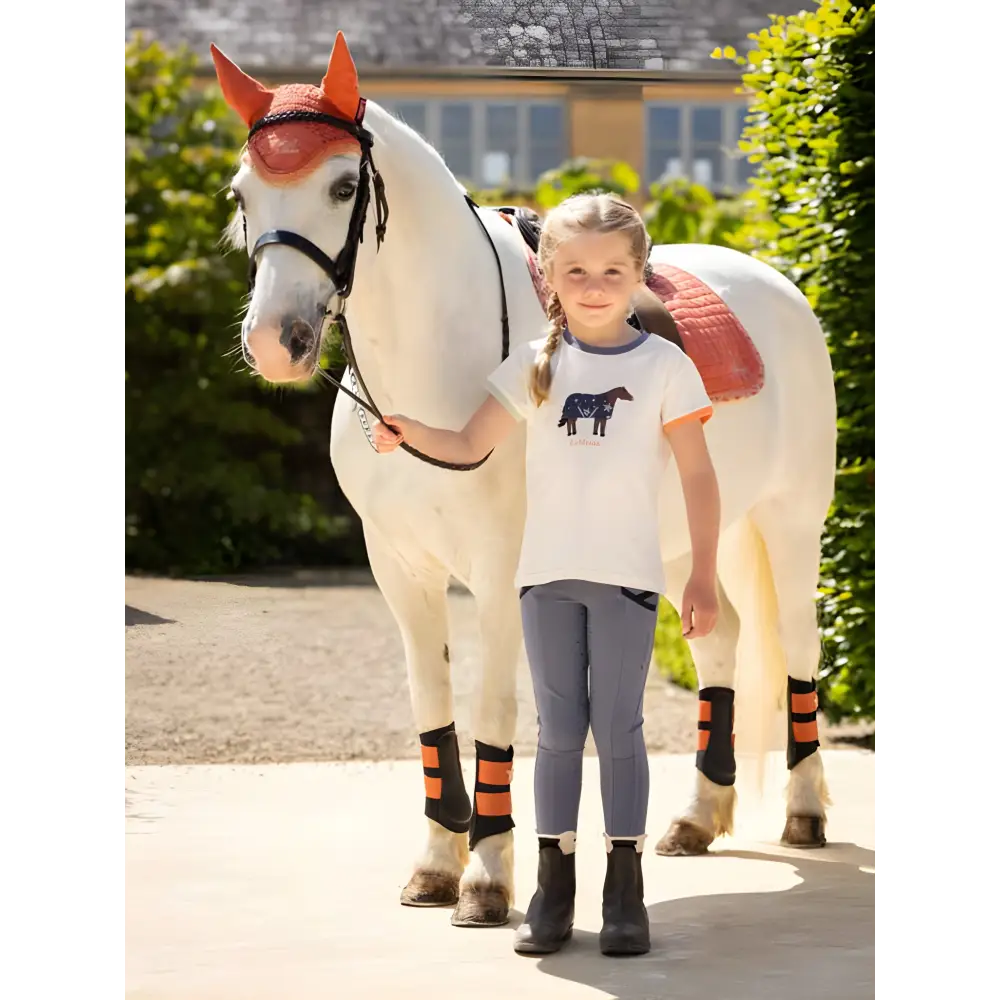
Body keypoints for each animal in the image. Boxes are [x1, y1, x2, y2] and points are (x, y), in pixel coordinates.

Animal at [209, 35, 836, 924]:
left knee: (798, 647)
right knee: (722, 642)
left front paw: (487, 878)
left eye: (341, 186)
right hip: (689, 541)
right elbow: (433, 712)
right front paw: (436, 865)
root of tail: (779, 286)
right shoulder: (398, 569)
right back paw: (696, 818)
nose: (276, 341)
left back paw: (805, 813)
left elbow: (494, 711)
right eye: (242, 193)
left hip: (791, 522)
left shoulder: (503, 572)